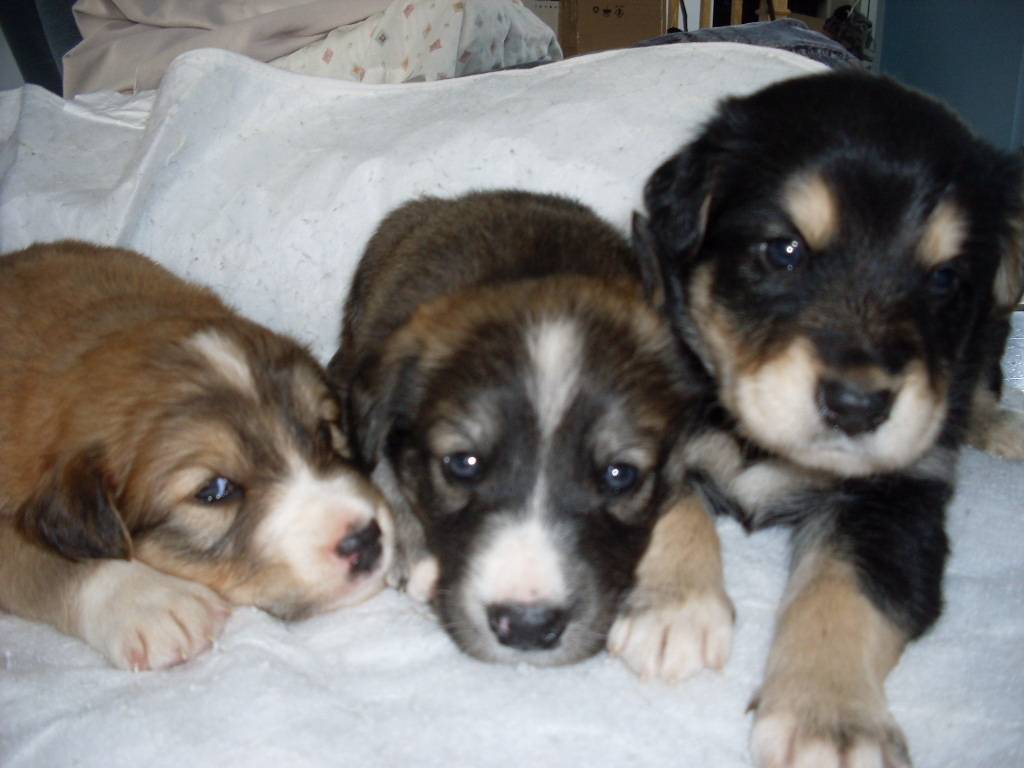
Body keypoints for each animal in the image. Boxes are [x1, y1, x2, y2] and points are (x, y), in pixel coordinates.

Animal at [328, 190, 735, 672]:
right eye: (463, 464)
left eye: (620, 475)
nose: (527, 627)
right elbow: (377, 461)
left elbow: (684, 499)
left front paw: (678, 606)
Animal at [636, 71, 1024, 766]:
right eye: (784, 250)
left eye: (945, 278)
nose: (857, 405)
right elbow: (672, 505)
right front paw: (674, 609)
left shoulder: (896, 502)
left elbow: (842, 595)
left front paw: (831, 721)